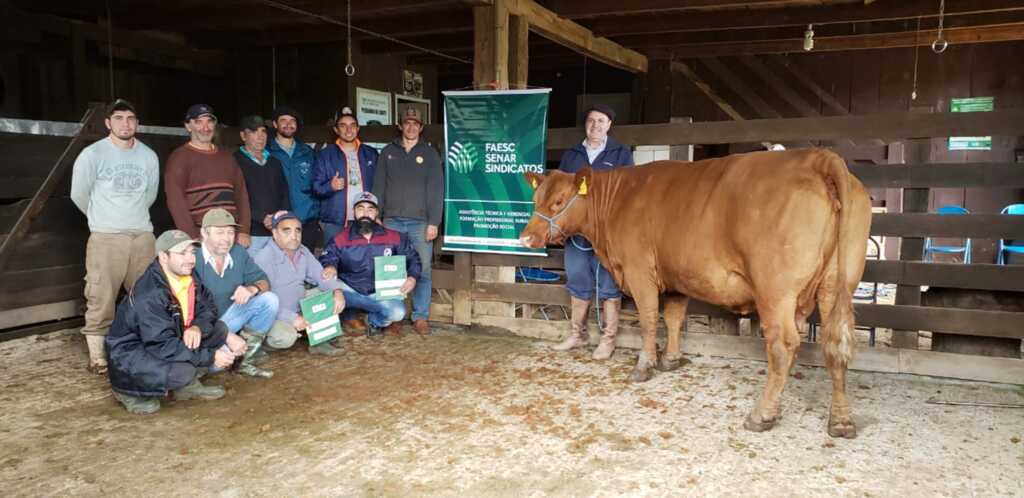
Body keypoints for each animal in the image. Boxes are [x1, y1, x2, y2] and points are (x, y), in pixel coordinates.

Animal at [520, 147, 872, 436]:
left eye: (558, 201)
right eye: (536, 201)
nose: (525, 238)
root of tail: (818, 157)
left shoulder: (639, 270)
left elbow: (650, 319)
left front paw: (644, 366)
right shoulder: (677, 277)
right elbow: (675, 318)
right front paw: (671, 359)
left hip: (776, 292)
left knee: (783, 346)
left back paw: (762, 415)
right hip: (836, 284)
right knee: (835, 344)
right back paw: (841, 421)